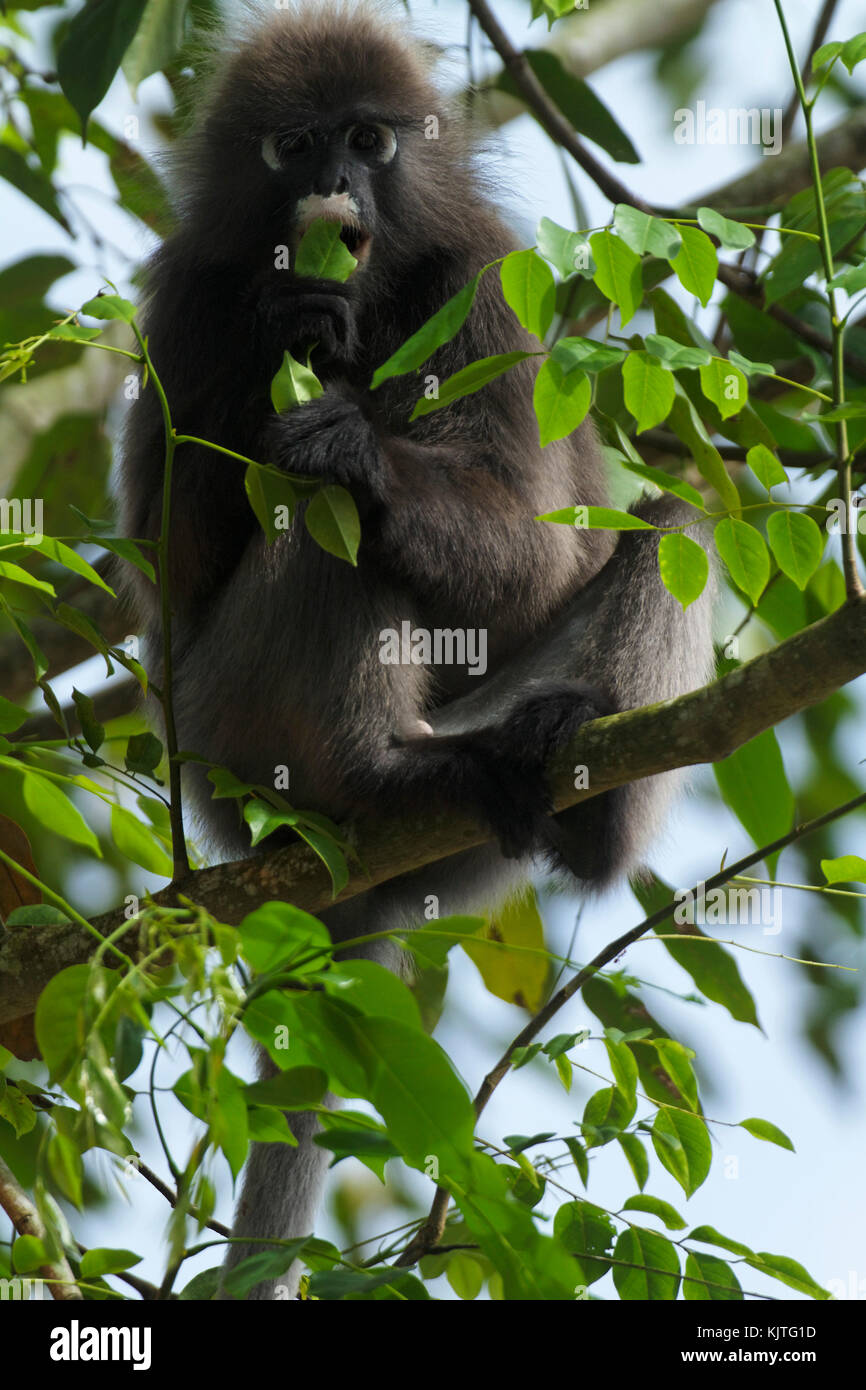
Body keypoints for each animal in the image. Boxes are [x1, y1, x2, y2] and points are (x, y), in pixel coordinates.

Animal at [118, 5, 717, 1295]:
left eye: (368, 140)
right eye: (294, 145)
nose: (335, 188)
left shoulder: (479, 276)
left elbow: (536, 549)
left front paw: (355, 433)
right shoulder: (181, 293)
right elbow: (168, 567)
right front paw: (289, 338)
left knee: (677, 528)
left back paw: (587, 806)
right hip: (227, 739)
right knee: (313, 530)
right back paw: (380, 768)